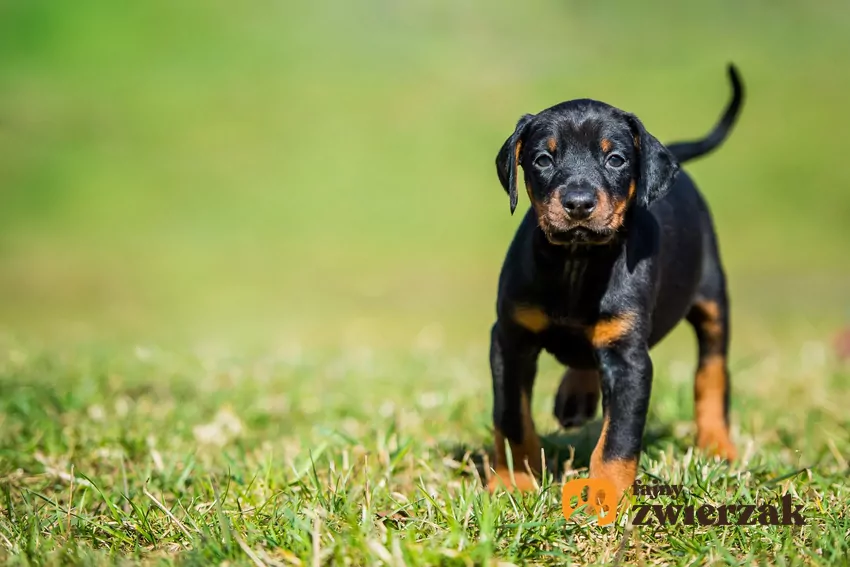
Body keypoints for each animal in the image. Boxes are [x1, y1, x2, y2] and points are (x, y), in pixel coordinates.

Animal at [486, 67, 740, 502]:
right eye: (542, 159)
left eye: (616, 159)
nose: (578, 203)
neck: (577, 260)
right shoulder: (509, 339)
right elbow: (512, 415)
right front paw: (514, 480)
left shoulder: (629, 359)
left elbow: (618, 439)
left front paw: (604, 497)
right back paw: (577, 395)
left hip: (712, 297)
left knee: (712, 370)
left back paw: (717, 443)